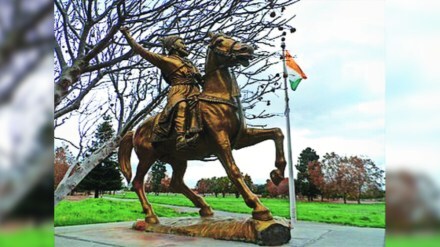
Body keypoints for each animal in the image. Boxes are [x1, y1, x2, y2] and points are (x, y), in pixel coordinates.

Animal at [118, 32, 288, 224]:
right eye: (220, 41)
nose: (247, 48)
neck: (217, 97)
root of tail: (135, 130)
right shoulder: (220, 141)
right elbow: (234, 170)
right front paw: (258, 207)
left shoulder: (241, 138)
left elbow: (277, 133)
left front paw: (277, 174)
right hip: (147, 157)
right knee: (138, 182)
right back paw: (150, 215)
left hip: (178, 159)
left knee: (176, 183)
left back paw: (204, 207)